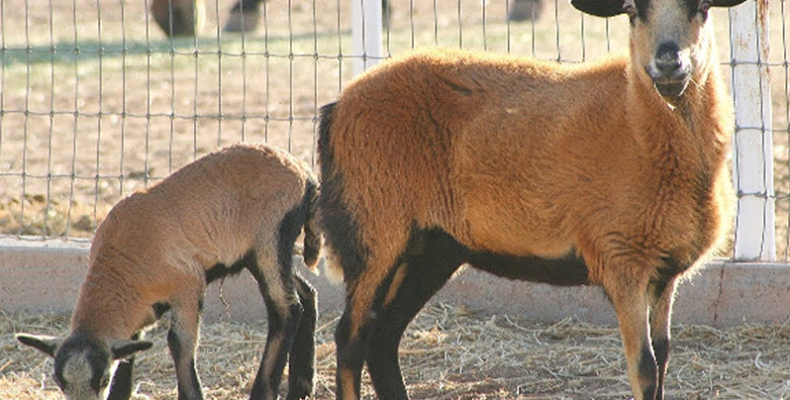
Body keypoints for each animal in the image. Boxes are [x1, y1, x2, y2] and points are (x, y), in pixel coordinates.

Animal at [16, 143, 321, 400]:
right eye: (59, 382)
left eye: (102, 380)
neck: (121, 268)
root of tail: (304, 173)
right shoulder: (138, 313)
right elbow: (129, 353)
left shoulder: (188, 285)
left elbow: (180, 344)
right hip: (262, 254)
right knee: (306, 293)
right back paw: (301, 388)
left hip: (270, 238)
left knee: (286, 309)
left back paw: (265, 391)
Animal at [315, 0, 746, 399]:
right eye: (630, 10)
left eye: (703, 7)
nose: (668, 62)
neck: (636, 126)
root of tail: (339, 105)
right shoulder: (622, 260)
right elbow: (644, 367)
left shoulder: (663, 273)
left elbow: (663, 358)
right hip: (376, 229)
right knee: (351, 340)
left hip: (431, 248)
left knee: (383, 338)